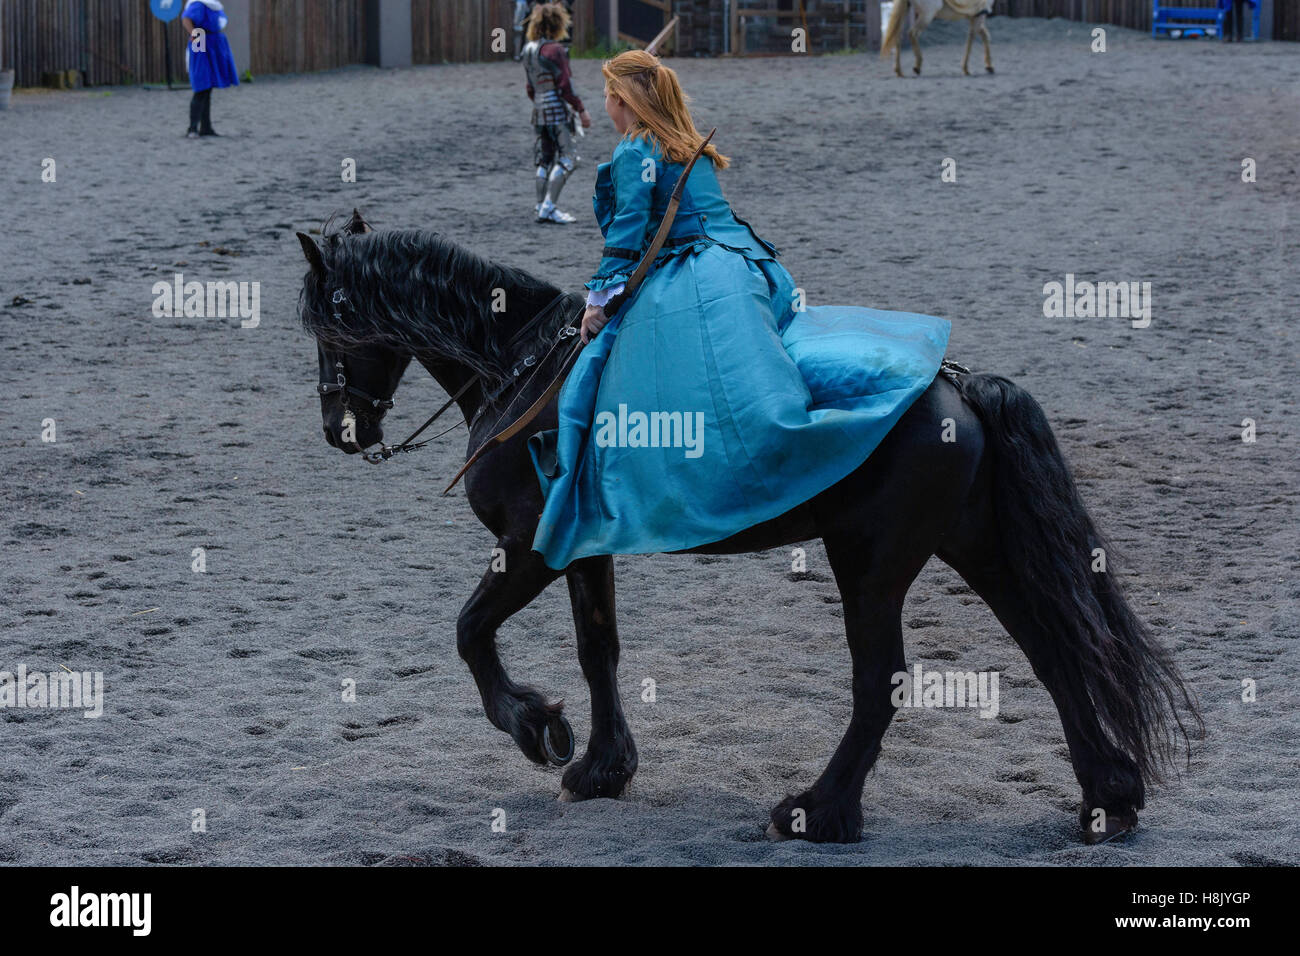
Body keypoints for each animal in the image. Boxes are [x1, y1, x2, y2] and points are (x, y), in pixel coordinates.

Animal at [297, 210, 1196, 842]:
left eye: (328, 326)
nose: (339, 430)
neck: (522, 373)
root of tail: (953, 382)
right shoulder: (582, 549)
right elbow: (598, 649)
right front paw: (602, 768)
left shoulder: (529, 549)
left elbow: (470, 631)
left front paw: (536, 728)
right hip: (975, 545)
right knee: (1054, 650)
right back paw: (1107, 799)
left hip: (870, 562)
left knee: (881, 682)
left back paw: (820, 812)